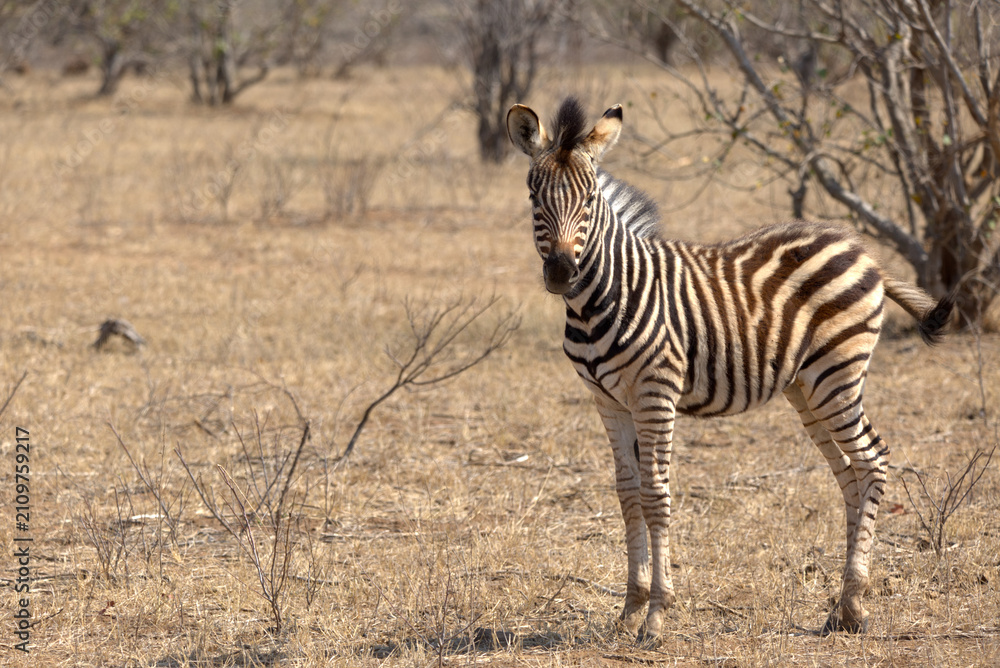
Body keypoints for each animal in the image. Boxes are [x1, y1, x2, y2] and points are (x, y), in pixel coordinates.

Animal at [506, 97, 952, 640]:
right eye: (534, 195)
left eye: (589, 198)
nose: (561, 273)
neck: (602, 297)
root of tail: (862, 250)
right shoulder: (607, 400)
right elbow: (627, 494)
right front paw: (630, 609)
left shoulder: (656, 392)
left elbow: (655, 495)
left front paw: (656, 615)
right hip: (806, 388)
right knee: (849, 473)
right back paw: (843, 607)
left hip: (838, 375)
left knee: (872, 460)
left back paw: (855, 602)